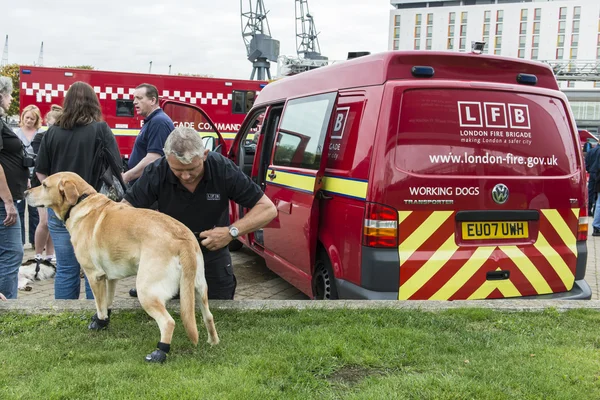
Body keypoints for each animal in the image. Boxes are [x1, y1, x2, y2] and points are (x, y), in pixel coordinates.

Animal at [25, 171, 220, 362]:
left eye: (44, 185)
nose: (25, 192)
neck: (81, 202)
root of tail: (182, 237)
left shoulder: (94, 275)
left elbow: (100, 305)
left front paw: (99, 322)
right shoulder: (110, 278)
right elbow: (108, 301)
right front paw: (103, 321)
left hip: (146, 290)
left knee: (168, 322)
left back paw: (159, 353)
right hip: (198, 287)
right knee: (208, 316)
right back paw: (213, 341)